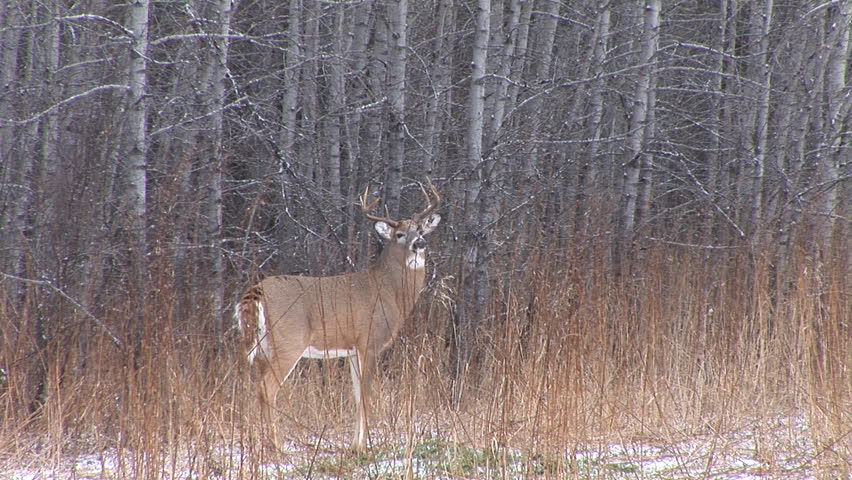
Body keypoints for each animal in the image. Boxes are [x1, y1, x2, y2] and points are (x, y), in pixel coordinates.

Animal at [234, 180, 441, 451]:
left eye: (421, 230)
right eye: (399, 234)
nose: (419, 244)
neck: (388, 290)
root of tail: (256, 291)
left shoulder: (352, 349)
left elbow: (356, 394)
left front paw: (354, 444)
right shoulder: (369, 341)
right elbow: (366, 394)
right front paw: (364, 445)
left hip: (262, 347)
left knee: (256, 387)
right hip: (288, 342)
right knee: (267, 389)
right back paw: (277, 446)